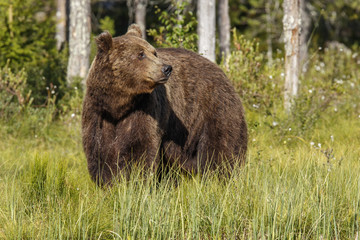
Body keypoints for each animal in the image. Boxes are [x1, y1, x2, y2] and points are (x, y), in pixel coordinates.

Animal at [82, 24, 248, 185]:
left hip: (214, 110)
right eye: (140, 54)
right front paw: (109, 183)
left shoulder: (145, 108)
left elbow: (141, 148)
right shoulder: (97, 113)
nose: (166, 68)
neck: (118, 104)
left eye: (153, 52)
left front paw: (136, 182)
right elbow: (100, 152)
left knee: (222, 150)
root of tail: (219, 69)